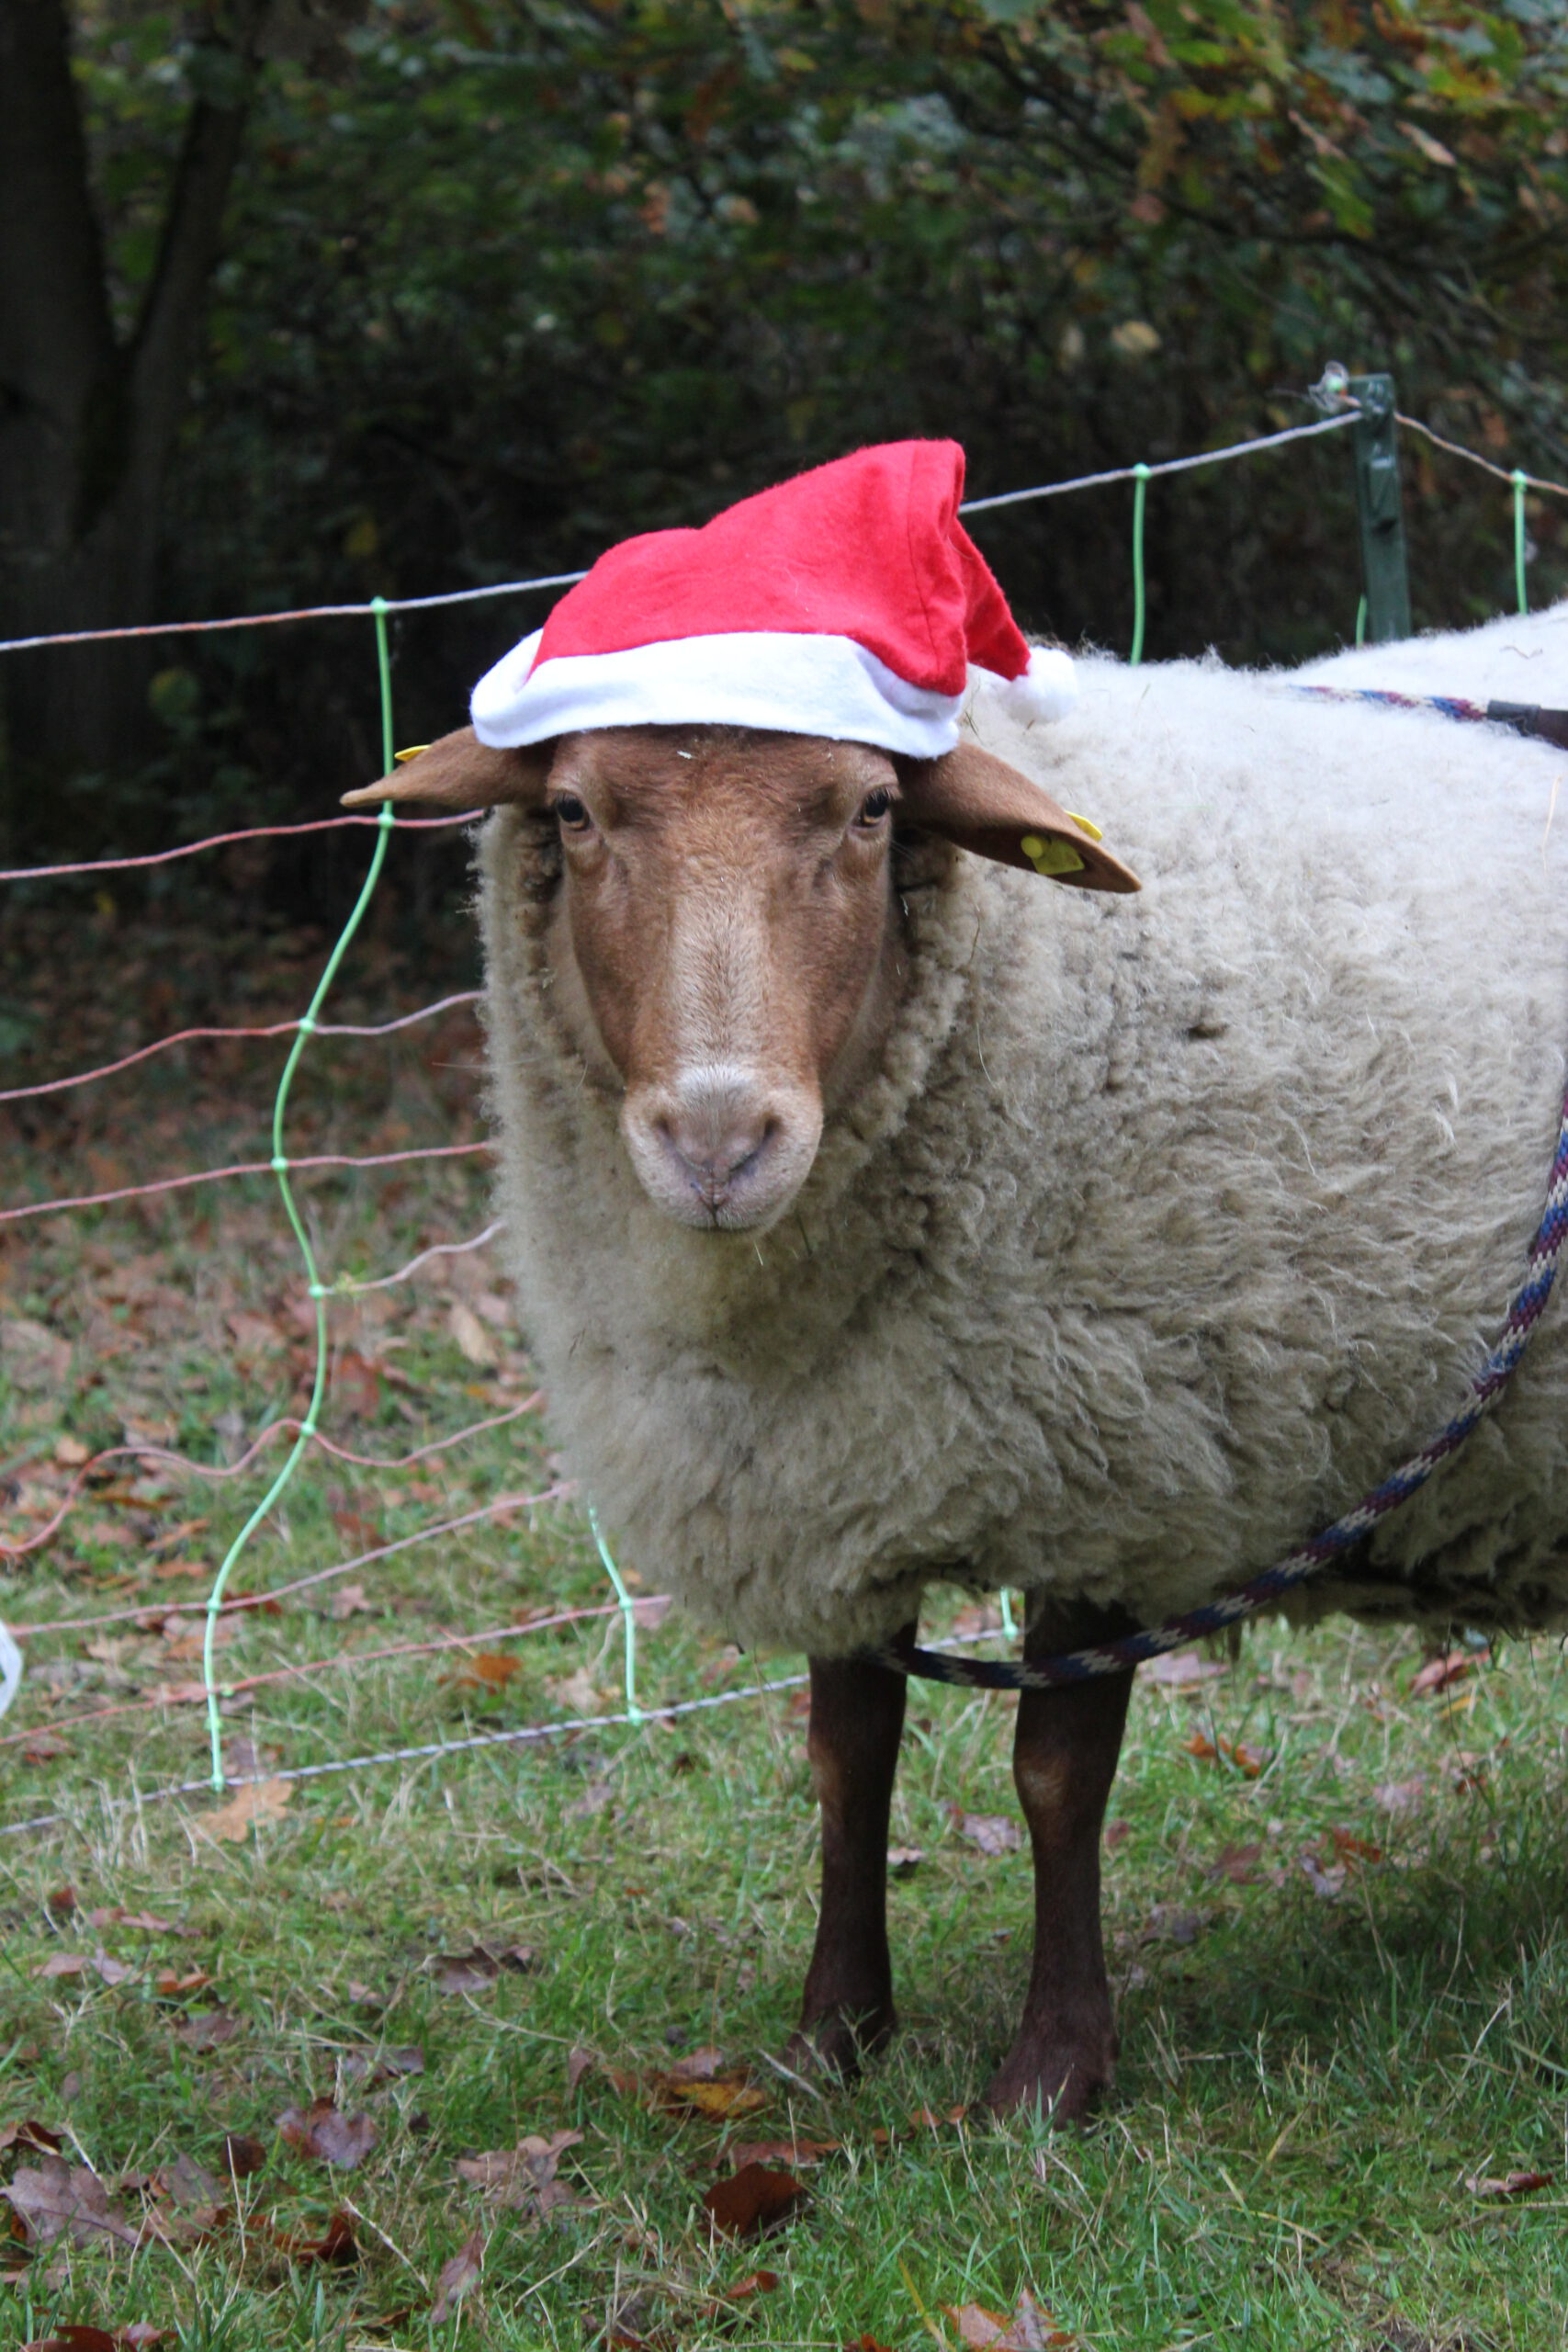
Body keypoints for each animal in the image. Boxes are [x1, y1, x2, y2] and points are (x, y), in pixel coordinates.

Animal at [352, 602, 1568, 2117]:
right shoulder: (830, 1474)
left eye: (869, 809)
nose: (716, 1142)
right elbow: (845, 1758)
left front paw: (1047, 2077)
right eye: (574, 811)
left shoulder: (1112, 1455)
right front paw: (833, 2040)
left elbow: (1054, 1776)